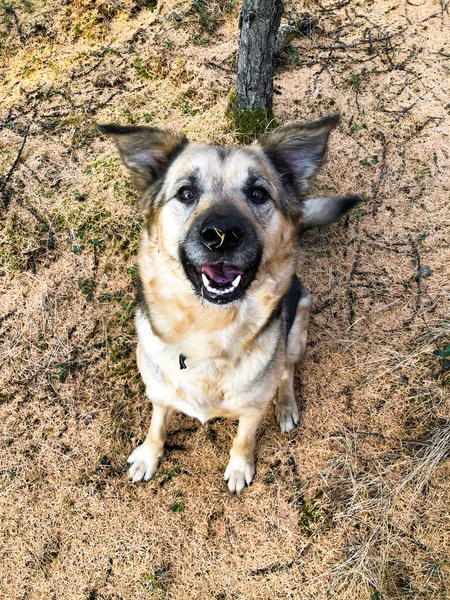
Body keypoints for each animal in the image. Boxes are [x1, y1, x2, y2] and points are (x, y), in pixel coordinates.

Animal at [98, 116, 358, 492]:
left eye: (258, 193)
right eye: (186, 193)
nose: (221, 235)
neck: (209, 329)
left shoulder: (252, 409)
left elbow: (243, 439)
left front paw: (239, 467)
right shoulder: (159, 394)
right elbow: (157, 425)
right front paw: (149, 456)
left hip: (296, 332)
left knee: (287, 371)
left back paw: (286, 406)